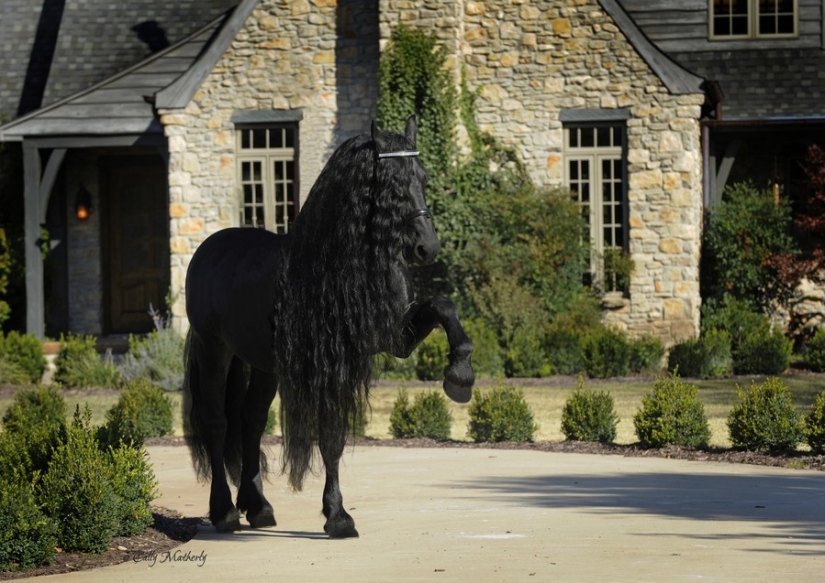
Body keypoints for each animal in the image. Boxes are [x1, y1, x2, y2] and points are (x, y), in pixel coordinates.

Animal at [182, 116, 474, 538]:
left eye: (423, 176)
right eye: (390, 183)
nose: (428, 248)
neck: (342, 266)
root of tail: (210, 249)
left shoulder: (394, 338)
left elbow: (443, 305)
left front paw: (460, 375)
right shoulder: (330, 365)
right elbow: (331, 437)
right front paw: (338, 516)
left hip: (263, 364)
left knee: (251, 421)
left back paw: (260, 508)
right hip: (214, 350)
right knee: (217, 422)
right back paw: (224, 513)